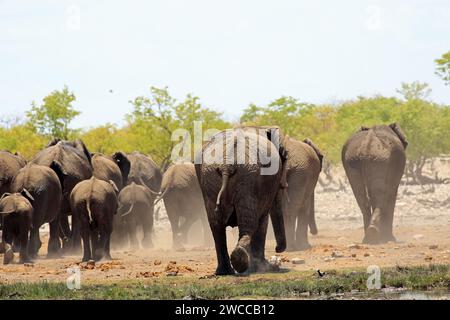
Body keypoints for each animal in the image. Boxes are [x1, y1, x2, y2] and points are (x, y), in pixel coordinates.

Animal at [194, 127, 286, 276]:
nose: (277, 250)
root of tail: (227, 165)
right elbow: (263, 222)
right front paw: (266, 268)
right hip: (248, 178)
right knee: (249, 224)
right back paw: (241, 263)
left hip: (212, 178)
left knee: (216, 226)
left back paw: (226, 271)